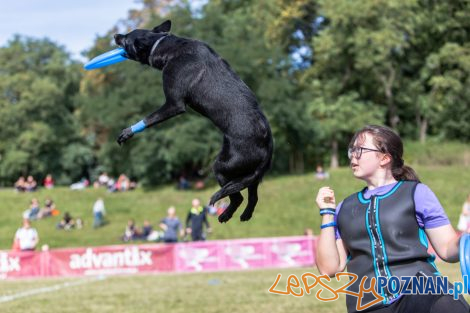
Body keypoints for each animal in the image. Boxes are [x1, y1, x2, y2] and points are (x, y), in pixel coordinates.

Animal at [115, 19, 274, 222]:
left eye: (126, 38)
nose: (115, 35)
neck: (163, 45)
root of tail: (268, 144)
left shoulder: (174, 104)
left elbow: (150, 117)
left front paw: (127, 132)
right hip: (250, 174)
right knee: (252, 196)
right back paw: (245, 215)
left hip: (222, 166)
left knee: (237, 197)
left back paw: (224, 215)